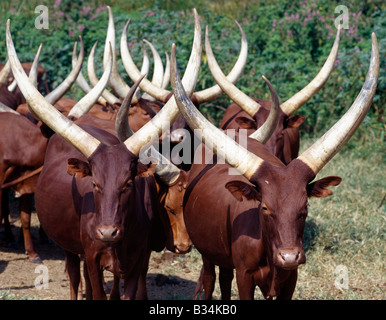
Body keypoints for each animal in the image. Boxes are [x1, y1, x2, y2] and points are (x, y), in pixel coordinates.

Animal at [172, 35, 380, 300]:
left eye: (305, 206)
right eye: (264, 208)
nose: (289, 256)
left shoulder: (291, 278)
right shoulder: (245, 275)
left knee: (225, 277)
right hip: (207, 252)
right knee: (210, 278)